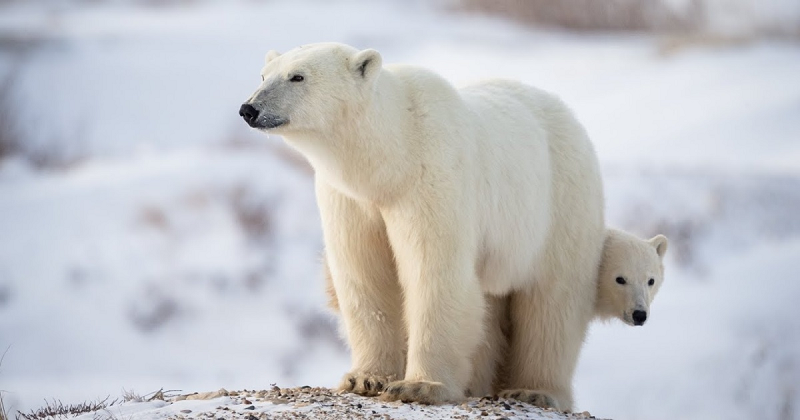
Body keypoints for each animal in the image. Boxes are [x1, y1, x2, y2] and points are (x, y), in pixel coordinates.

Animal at [241, 42, 604, 410]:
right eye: (264, 75)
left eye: (297, 76)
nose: (249, 109)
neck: (393, 155)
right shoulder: (350, 200)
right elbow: (367, 275)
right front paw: (365, 378)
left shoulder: (431, 178)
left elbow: (434, 271)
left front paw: (419, 386)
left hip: (561, 203)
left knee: (552, 303)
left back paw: (534, 389)